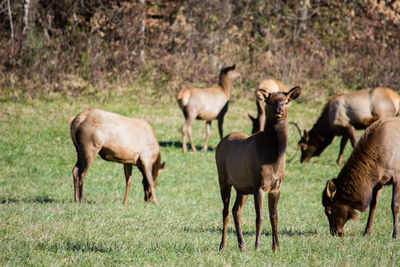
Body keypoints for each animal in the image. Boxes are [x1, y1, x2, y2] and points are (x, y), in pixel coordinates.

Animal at [217, 87, 302, 252]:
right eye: (270, 101)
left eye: (286, 101)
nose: (279, 110)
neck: (273, 161)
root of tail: (220, 143)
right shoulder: (259, 186)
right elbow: (259, 218)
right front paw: (257, 247)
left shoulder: (276, 187)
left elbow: (274, 217)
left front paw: (276, 247)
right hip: (223, 179)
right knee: (226, 211)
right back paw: (222, 246)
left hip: (242, 188)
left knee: (236, 210)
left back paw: (242, 245)